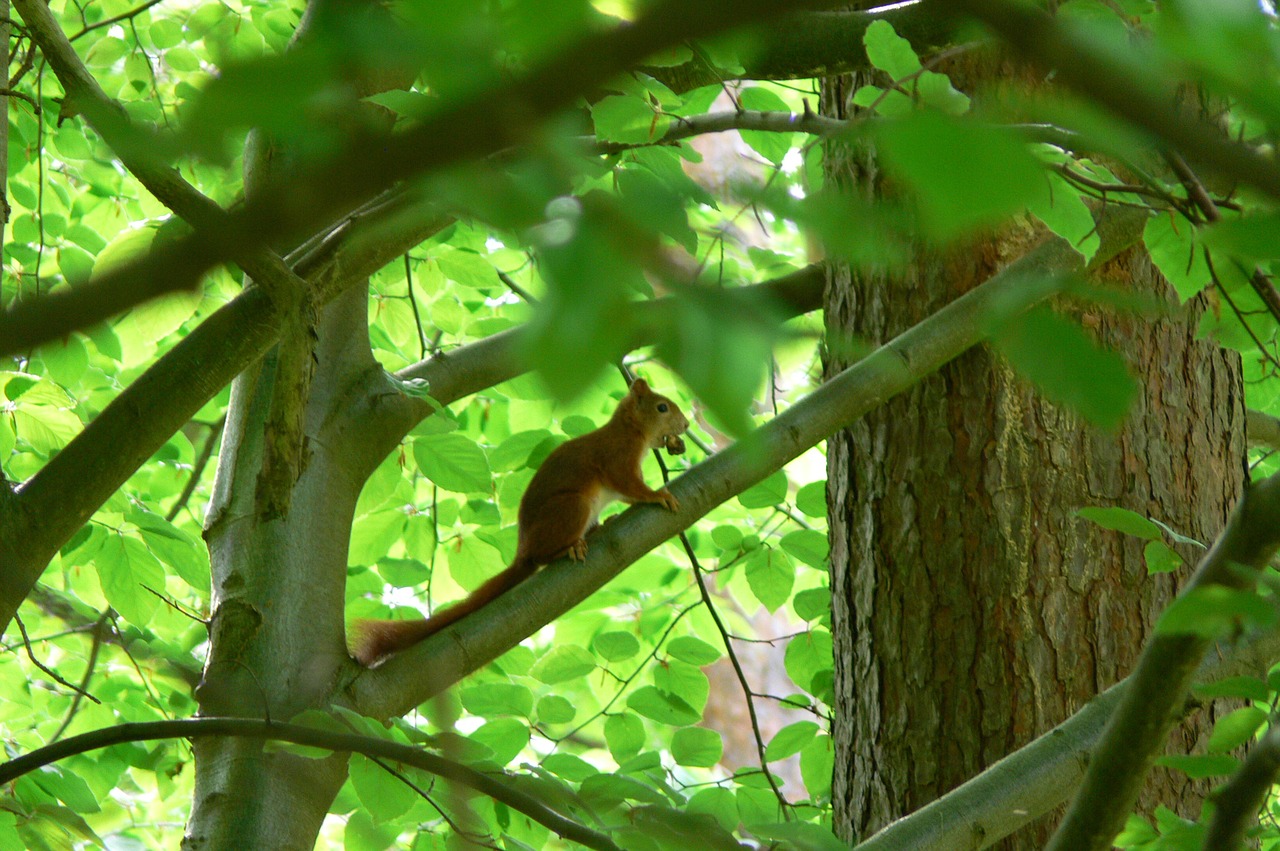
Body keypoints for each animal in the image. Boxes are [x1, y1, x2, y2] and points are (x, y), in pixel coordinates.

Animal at [350, 378, 691, 665]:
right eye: (662, 407)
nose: (686, 424)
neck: (630, 430)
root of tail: (524, 550)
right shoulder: (617, 458)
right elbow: (630, 487)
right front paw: (658, 495)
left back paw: (599, 528)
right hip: (572, 507)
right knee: (543, 556)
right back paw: (570, 547)